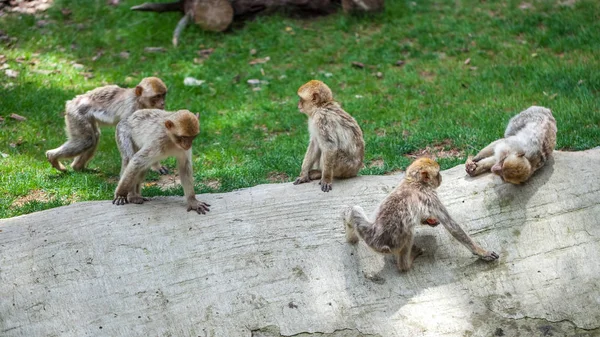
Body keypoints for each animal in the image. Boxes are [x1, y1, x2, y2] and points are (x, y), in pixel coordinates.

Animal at [344, 157, 500, 270]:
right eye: (438, 173)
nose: (441, 177)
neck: (414, 182)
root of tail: (375, 242)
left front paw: (428, 220)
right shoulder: (430, 196)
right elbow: (452, 226)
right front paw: (481, 252)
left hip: (368, 232)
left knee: (354, 211)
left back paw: (350, 233)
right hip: (395, 243)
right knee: (408, 231)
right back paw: (406, 264)